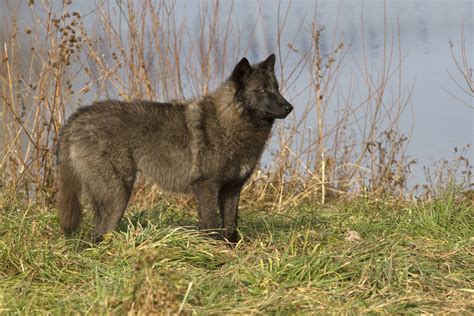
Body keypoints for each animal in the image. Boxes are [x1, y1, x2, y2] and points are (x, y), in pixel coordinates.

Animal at [55, 54, 292, 243]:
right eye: (261, 90)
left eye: (277, 88)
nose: (289, 107)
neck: (230, 123)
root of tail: (76, 118)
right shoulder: (207, 186)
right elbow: (211, 225)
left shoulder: (232, 188)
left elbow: (231, 227)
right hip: (118, 196)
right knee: (99, 235)